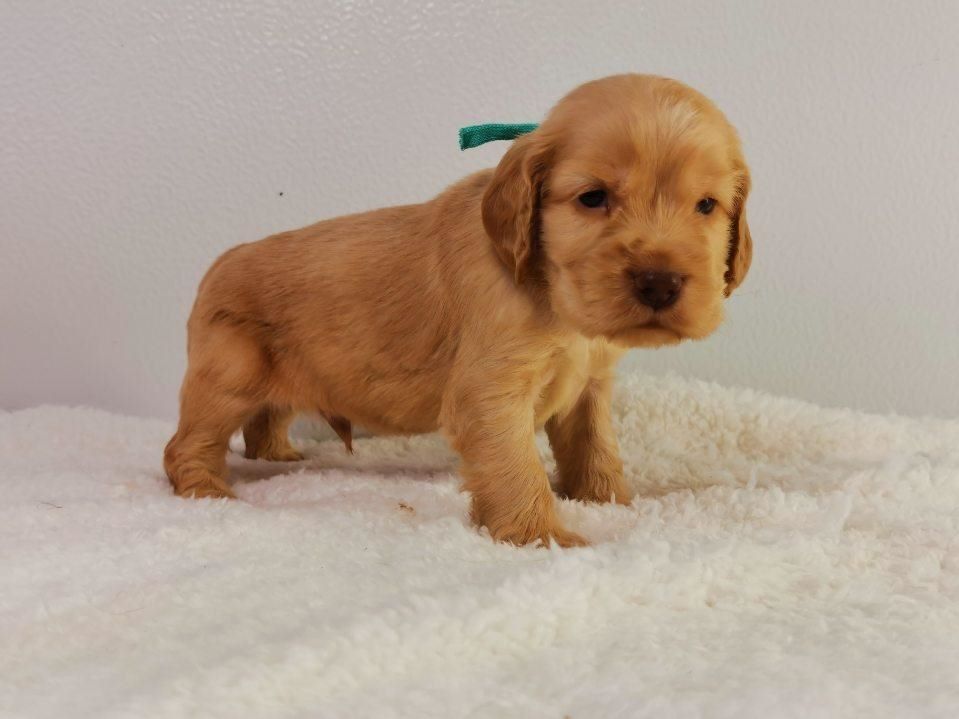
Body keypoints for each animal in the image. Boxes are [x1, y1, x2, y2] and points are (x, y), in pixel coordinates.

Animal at [164, 74, 752, 547]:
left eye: (706, 206)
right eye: (593, 197)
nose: (661, 283)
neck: (554, 299)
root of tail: (222, 261)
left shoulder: (588, 385)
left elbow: (595, 448)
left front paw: (611, 502)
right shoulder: (489, 391)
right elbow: (516, 465)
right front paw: (540, 535)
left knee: (265, 419)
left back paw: (278, 457)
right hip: (228, 376)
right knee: (186, 444)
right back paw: (208, 491)